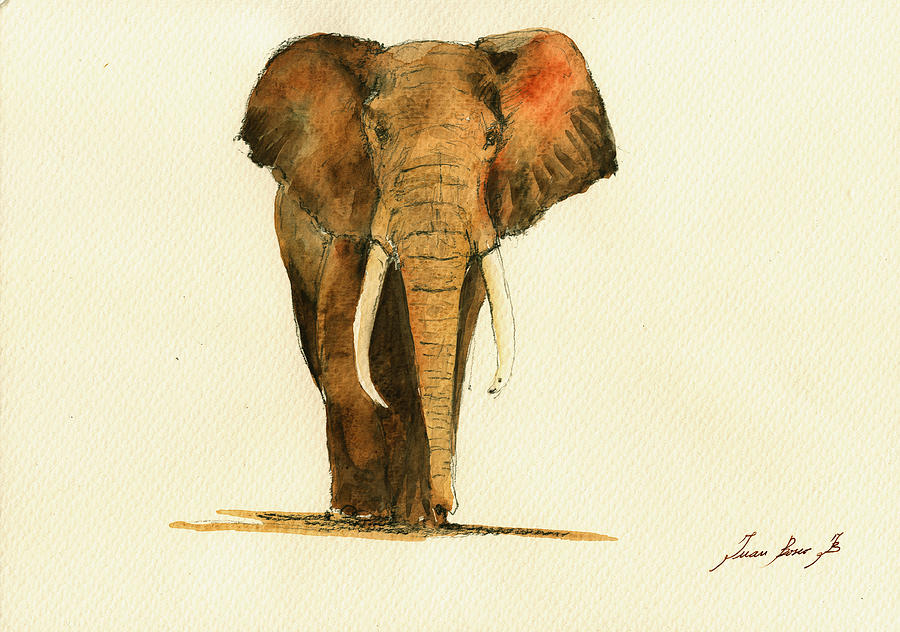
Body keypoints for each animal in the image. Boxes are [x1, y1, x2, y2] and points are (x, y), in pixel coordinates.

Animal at [239, 28, 616, 526]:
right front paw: (366, 512)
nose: (444, 508)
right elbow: (342, 335)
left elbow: (454, 341)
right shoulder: (349, 207)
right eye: (378, 134)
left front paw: (420, 516)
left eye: (493, 137)